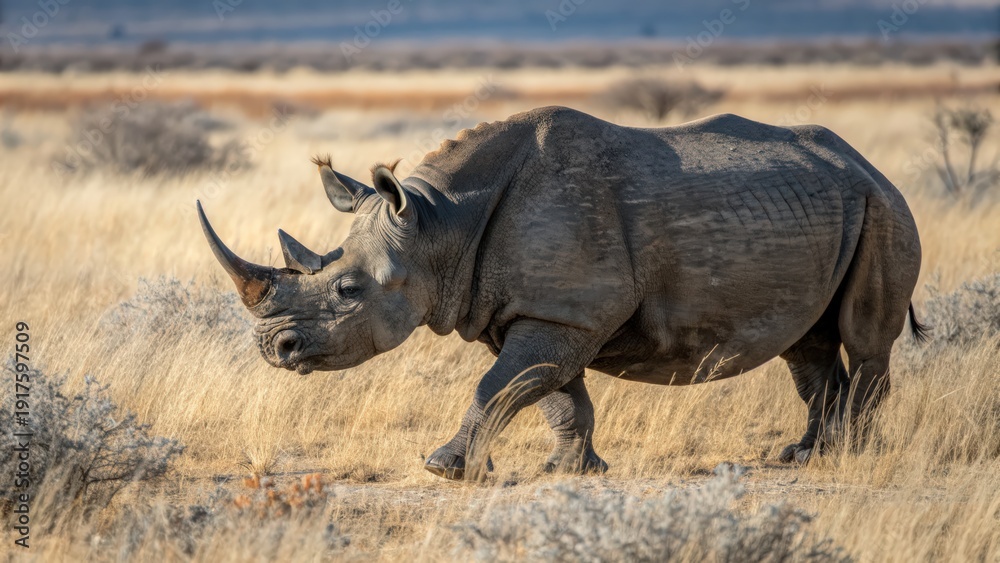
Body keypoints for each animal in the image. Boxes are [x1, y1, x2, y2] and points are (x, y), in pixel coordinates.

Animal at [197, 106, 925, 480]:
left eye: (347, 288)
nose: (273, 347)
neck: (441, 223)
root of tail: (867, 163)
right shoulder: (541, 310)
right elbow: (551, 393)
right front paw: (571, 469)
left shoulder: (565, 311)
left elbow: (501, 386)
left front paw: (441, 469)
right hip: (832, 208)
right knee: (806, 345)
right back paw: (805, 454)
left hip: (884, 207)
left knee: (863, 341)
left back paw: (851, 456)